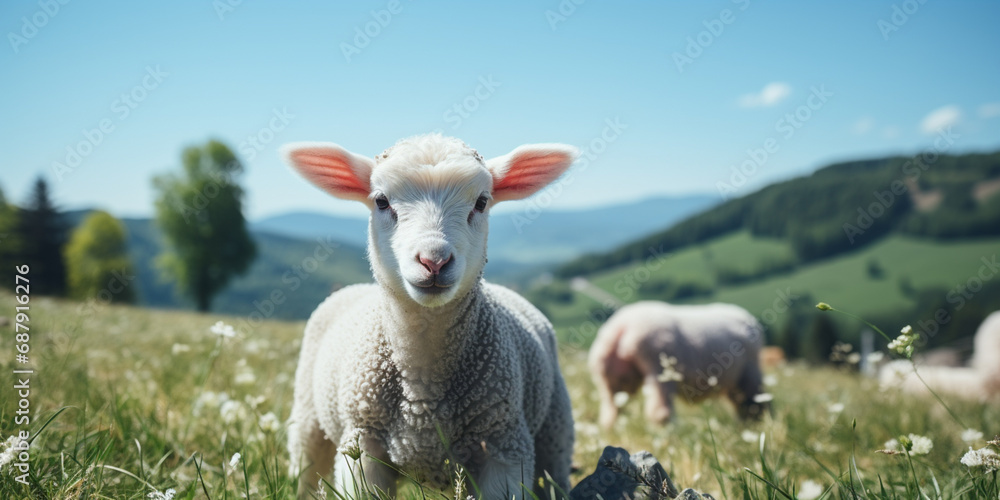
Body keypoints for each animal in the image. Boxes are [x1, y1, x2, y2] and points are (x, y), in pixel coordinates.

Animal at [281, 134, 576, 499]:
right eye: (381, 201)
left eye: (481, 202)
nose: (434, 261)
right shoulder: (362, 443)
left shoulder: (504, 446)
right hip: (309, 418)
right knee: (306, 468)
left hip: (555, 429)